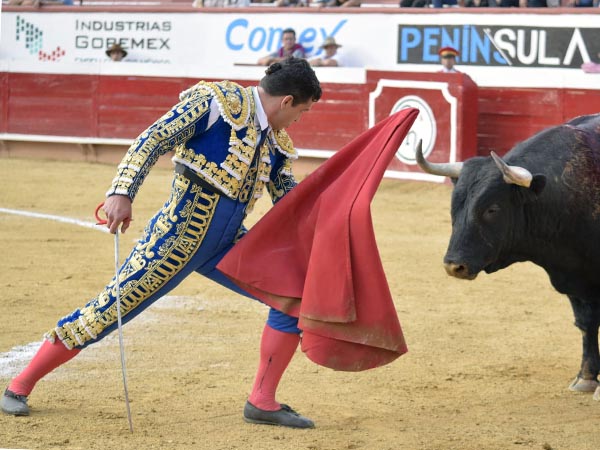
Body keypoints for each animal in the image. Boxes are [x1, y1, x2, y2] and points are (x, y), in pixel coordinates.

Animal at [416, 113, 600, 401]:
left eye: (492, 209)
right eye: (455, 205)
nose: (453, 266)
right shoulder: (574, 277)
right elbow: (586, 323)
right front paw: (586, 378)